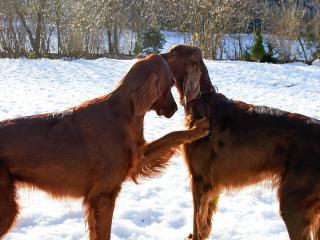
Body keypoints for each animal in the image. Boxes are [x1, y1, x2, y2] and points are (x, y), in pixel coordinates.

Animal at [0, 54, 210, 240]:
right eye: (170, 83)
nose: (174, 109)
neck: (124, 113)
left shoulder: (138, 158)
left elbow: (171, 136)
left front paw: (196, 128)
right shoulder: (103, 196)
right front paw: (200, 127)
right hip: (6, 210)